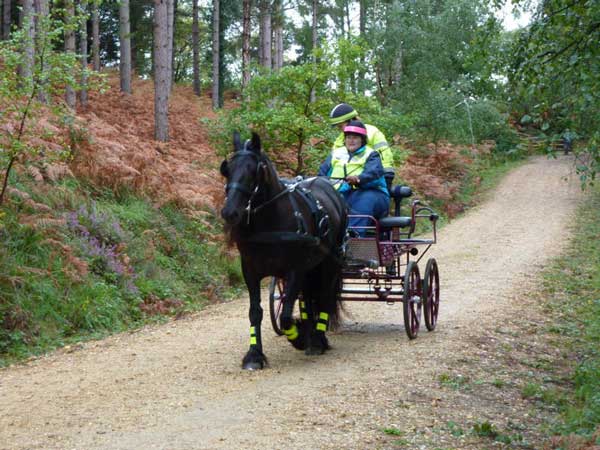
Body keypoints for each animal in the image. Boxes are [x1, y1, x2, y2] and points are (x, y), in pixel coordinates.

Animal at [220, 131, 346, 370]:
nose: (229, 212)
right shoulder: (249, 271)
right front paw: (254, 355)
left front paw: (300, 337)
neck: (270, 222)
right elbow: (255, 312)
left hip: (330, 262)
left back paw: (318, 339)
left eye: (253, 170)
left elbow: (286, 314)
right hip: (311, 267)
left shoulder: (295, 269)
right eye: (227, 169)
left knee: (324, 297)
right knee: (308, 298)